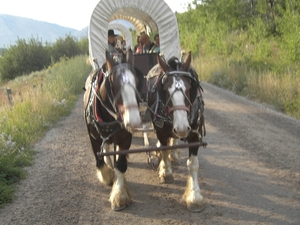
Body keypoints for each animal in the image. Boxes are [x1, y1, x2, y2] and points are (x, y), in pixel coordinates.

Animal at [146, 51, 206, 212]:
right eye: (166, 90)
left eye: (189, 88)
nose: (182, 128)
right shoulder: (160, 130)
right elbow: (164, 150)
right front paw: (166, 173)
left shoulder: (194, 134)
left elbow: (193, 164)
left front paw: (194, 197)